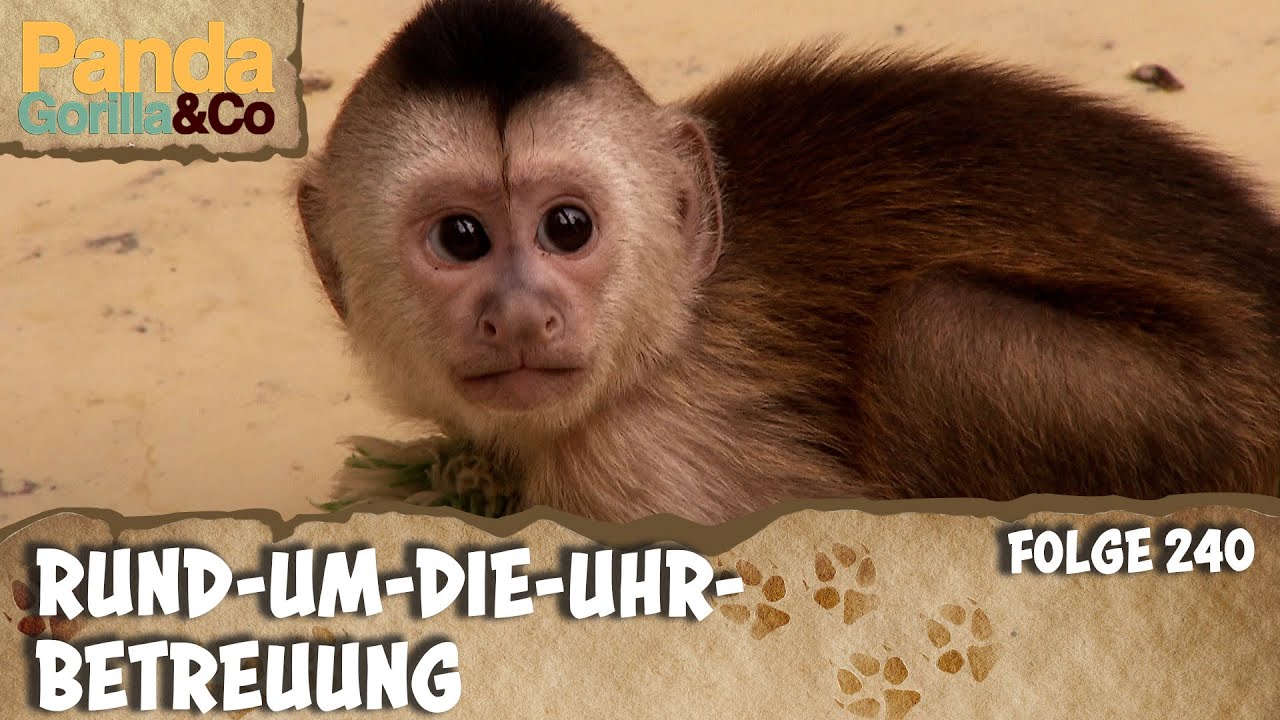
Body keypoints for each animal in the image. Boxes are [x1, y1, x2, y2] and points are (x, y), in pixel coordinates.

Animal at [296, 0, 1280, 524]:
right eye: (461, 238)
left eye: (568, 227)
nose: (521, 314)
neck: (670, 326)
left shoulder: (643, 468)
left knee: (935, 332)